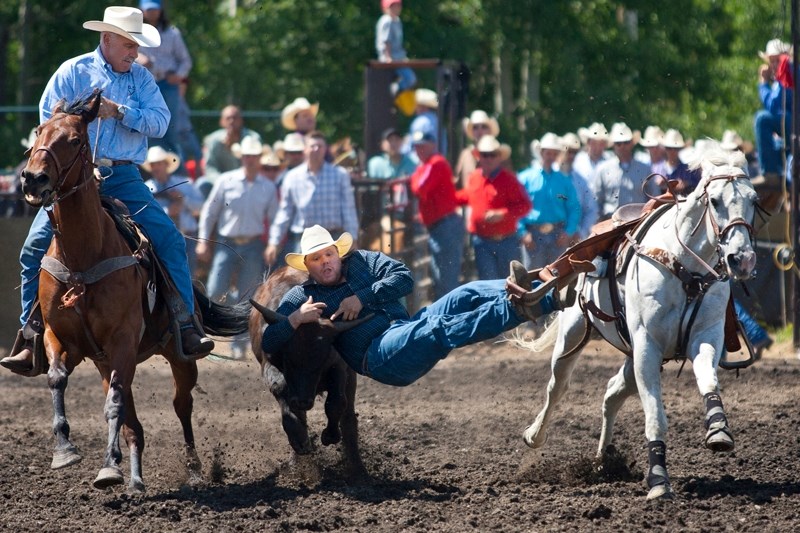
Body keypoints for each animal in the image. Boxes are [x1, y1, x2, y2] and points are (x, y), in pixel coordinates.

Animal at [19, 90, 250, 490]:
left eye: (76, 140)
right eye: (39, 131)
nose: (33, 178)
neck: (83, 254)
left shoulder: (123, 339)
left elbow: (114, 404)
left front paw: (107, 467)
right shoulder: (59, 336)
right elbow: (56, 378)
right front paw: (65, 450)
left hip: (176, 357)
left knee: (180, 404)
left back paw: (192, 469)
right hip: (105, 360)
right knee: (133, 423)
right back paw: (135, 478)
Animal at [520, 148, 760, 500]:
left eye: (754, 200)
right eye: (715, 200)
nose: (742, 259)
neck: (684, 267)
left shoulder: (707, 336)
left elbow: (708, 379)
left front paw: (718, 430)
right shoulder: (647, 345)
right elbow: (655, 416)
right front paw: (659, 480)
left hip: (631, 355)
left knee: (612, 394)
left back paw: (603, 462)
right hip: (574, 334)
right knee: (558, 386)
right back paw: (535, 435)